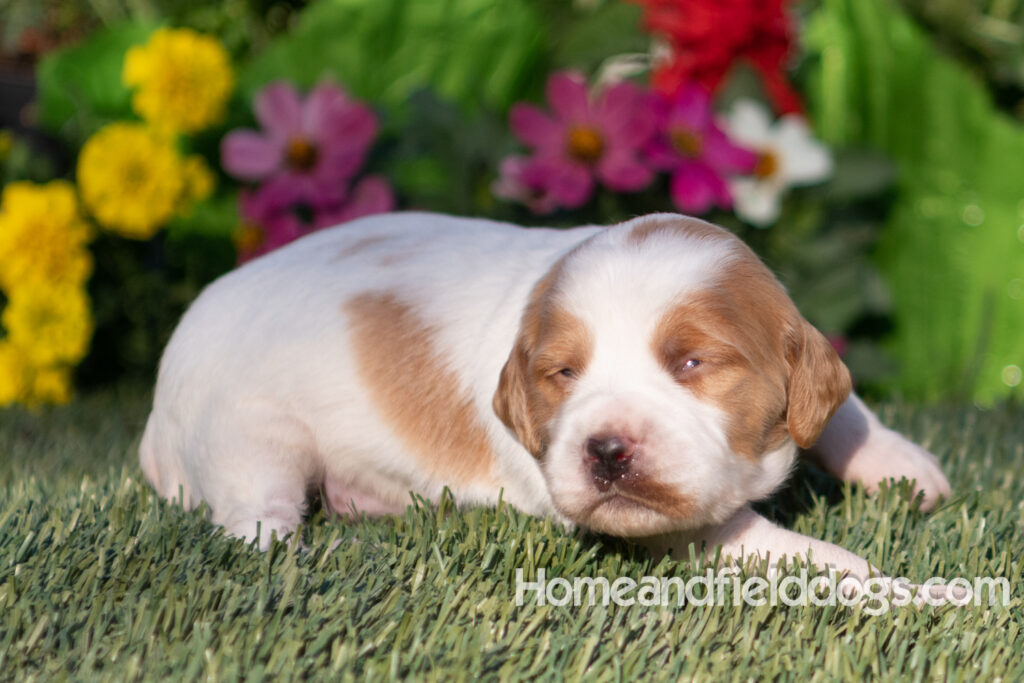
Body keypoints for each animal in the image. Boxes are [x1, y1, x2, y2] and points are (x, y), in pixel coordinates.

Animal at [140, 211, 946, 577]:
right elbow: (747, 533)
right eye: (563, 374)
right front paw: (855, 572)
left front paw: (906, 465)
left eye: (691, 361)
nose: (606, 451)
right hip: (252, 439)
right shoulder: (660, 524)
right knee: (254, 520)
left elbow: (843, 406)